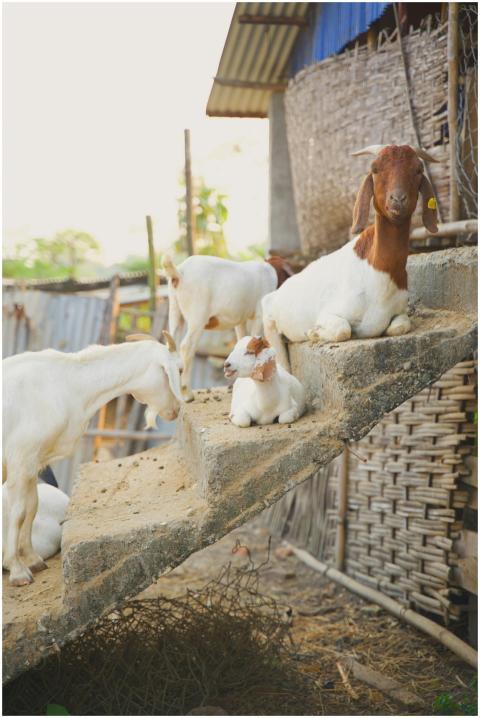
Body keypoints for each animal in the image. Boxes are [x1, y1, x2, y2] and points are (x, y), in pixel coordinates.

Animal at [2, 330, 182, 586]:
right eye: (179, 370)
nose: (176, 409)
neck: (69, 382)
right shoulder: (21, 459)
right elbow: (17, 512)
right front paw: (17, 570)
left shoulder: (34, 462)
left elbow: (32, 505)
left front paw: (33, 559)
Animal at [162, 254, 293, 401]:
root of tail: (179, 272)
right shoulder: (260, 314)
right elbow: (255, 335)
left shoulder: (241, 320)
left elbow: (243, 338)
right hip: (198, 314)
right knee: (187, 346)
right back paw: (188, 394)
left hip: (174, 309)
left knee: (171, 343)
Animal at [262, 145, 439, 369]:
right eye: (375, 169)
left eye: (417, 170)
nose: (398, 200)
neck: (378, 269)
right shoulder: (330, 313)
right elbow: (342, 330)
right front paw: (314, 333)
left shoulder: (400, 312)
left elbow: (399, 326)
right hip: (270, 327)